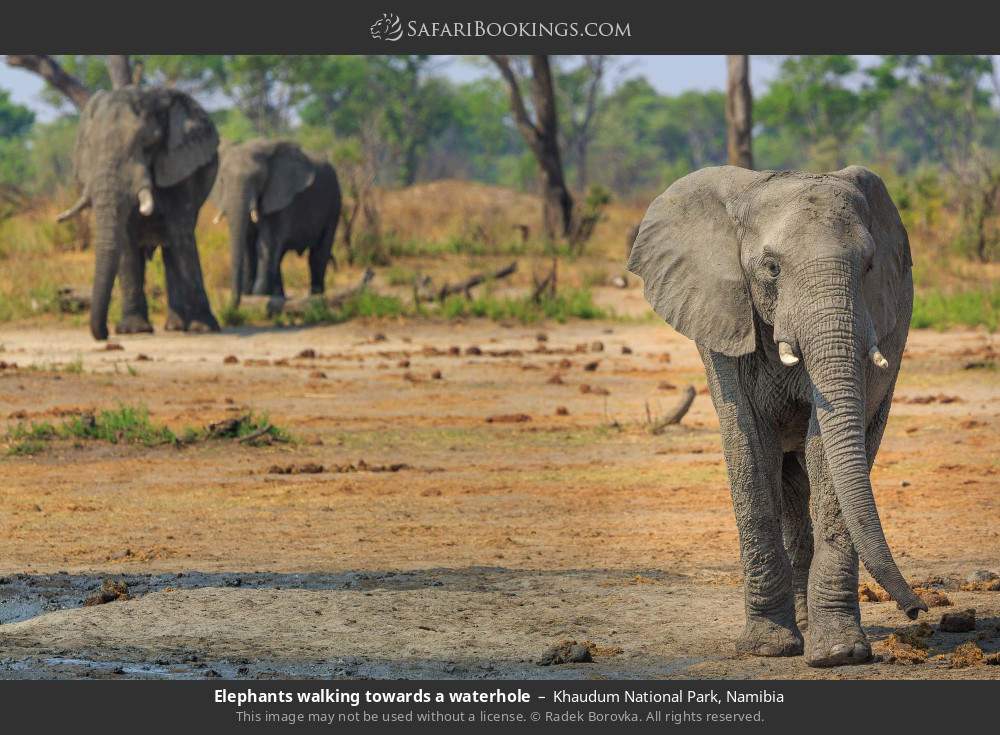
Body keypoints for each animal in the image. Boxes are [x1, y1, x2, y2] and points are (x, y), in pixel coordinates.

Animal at [61, 85, 222, 340]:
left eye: (148, 144)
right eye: (91, 148)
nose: (104, 334)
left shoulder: (180, 165)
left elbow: (180, 234)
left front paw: (204, 328)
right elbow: (126, 242)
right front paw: (132, 330)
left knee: (174, 244)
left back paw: (178, 326)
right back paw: (174, 325)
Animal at [213, 139, 342, 306]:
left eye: (258, 179)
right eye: (222, 180)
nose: (233, 304)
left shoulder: (281, 201)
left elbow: (265, 244)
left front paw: (258, 295)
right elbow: (249, 244)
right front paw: (250, 294)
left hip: (335, 204)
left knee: (318, 255)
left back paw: (316, 297)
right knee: (280, 257)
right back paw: (280, 295)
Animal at [628, 165, 924, 668]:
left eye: (868, 267)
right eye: (771, 268)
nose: (918, 610)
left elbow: (826, 449)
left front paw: (839, 654)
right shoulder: (724, 321)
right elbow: (749, 443)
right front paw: (768, 647)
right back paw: (797, 628)